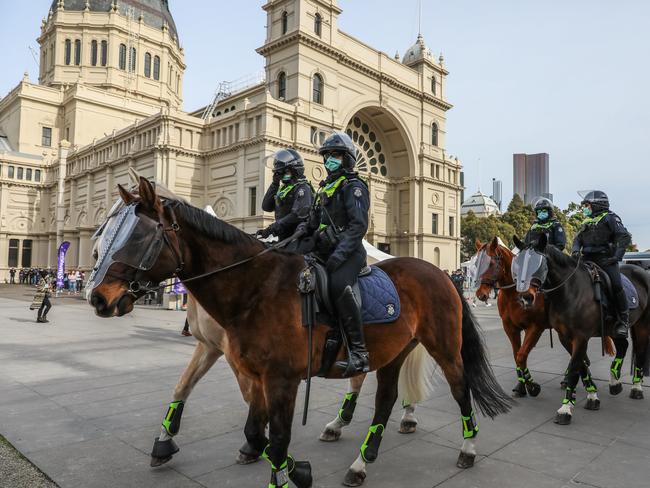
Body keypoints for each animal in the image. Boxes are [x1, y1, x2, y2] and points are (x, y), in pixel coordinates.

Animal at [87, 178, 512, 488]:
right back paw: (361, 460)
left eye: (138, 237)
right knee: (385, 400)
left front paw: (285, 466)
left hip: (445, 346)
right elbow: (255, 429)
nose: (98, 296)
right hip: (394, 351)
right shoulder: (241, 364)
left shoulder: (280, 378)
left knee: (459, 388)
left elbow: (274, 439)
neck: (255, 287)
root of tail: (439, 271)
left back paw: (467, 448)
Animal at [470, 239, 612, 404]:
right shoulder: (510, 328)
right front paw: (521, 386)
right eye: (476, 263)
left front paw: (532, 387)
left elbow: (521, 355)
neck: (514, 295)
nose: (481, 294)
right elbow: (517, 356)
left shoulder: (535, 328)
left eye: (491, 263)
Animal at [512, 234, 648, 426]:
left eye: (538, 265)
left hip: (642, 324)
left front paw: (565, 409)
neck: (569, 290)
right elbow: (581, 366)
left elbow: (574, 368)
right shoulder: (565, 337)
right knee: (623, 345)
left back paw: (636, 388)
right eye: (517, 264)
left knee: (641, 351)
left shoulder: (581, 337)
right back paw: (615, 383)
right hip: (613, 328)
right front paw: (592, 397)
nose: (525, 297)